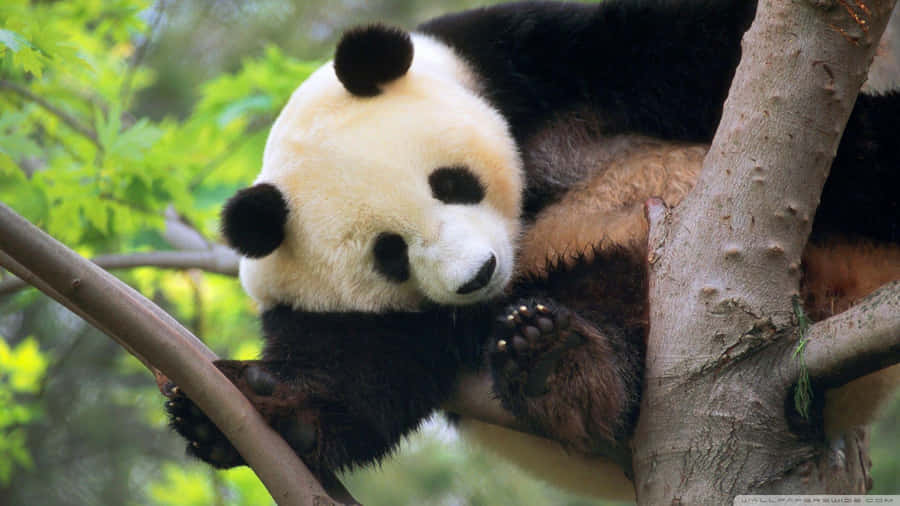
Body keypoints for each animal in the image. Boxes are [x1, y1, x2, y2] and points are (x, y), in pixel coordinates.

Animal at [166, 0, 900, 501]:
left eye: (450, 183)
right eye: (390, 255)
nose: (479, 275)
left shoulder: (527, 59)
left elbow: (680, 45)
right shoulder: (343, 311)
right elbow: (361, 374)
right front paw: (245, 410)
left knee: (859, 159)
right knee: (605, 308)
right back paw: (558, 361)